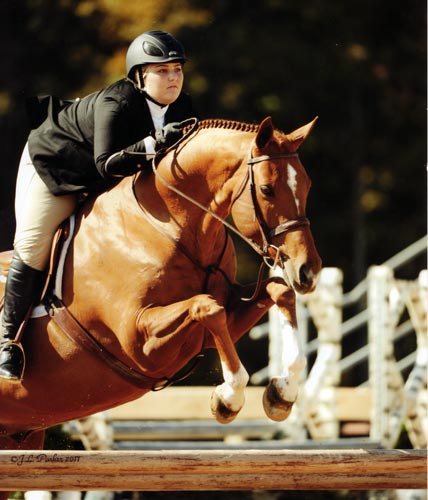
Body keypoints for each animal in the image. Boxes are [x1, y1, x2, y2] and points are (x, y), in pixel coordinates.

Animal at [0, 116, 320, 460]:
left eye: (307, 186)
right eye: (266, 189)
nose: (309, 271)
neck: (170, 225)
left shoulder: (212, 328)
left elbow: (278, 291)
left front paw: (282, 394)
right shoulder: (137, 342)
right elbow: (207, 307)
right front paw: (228, 398)